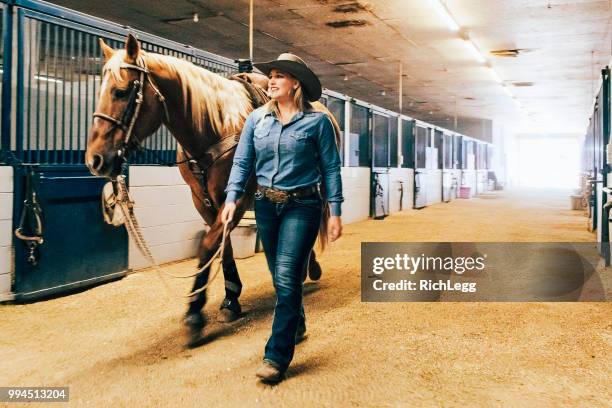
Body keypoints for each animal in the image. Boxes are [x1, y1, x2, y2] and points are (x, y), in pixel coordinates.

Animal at [84, 35, 342, 346]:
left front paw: (194, 314)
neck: (213, 125)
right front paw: (231, 299)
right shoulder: (203, 201)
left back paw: (307, 268)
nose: (95, 160)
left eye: (121, 92)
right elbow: (223, 247)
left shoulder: (238, 198)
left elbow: (207, 245)